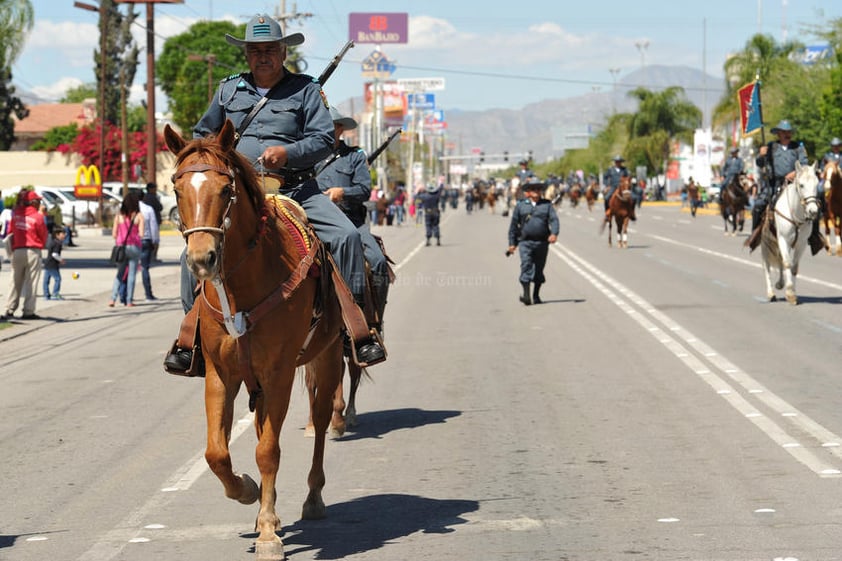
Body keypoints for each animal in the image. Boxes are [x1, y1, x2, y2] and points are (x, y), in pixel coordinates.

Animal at [163, 120, 342, 556]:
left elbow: (268, 450)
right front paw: (247, 492)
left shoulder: (279, 373)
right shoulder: (220, 373)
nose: (202, 259)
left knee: (320, 419)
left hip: (327, 357)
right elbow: (216, 452)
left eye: (226, 189)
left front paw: (267, 533)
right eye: (177, 188)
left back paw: (312, 498)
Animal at [756, 160, 816, 304]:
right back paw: (771, 293)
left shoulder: (801, 244)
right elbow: (787, 263)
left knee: (780, 260)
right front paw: (789, 292)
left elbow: (793, 267)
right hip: (766, 245)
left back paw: (780, 283)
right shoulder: (783, 239)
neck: (795, 215)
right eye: (801, 185)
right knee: (766, 266)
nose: (813, 211)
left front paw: (792, 292)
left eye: (817, 183)